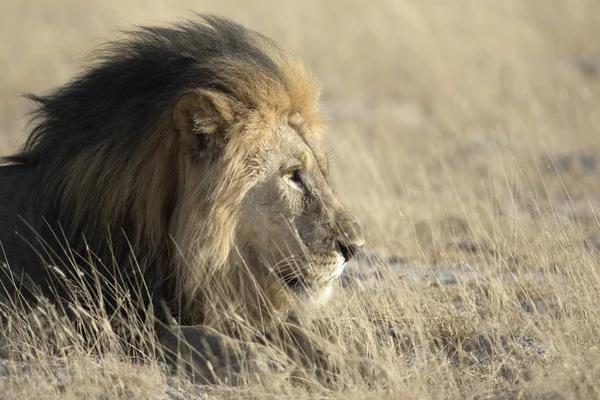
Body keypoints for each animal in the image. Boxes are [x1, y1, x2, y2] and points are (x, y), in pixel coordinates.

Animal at [0, 14, 366, 384]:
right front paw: (262, 362)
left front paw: (354, 365)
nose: (355, 248)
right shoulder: (100, 326)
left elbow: (300, 334)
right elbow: (191, 336)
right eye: (292, 175)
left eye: (322, 171)